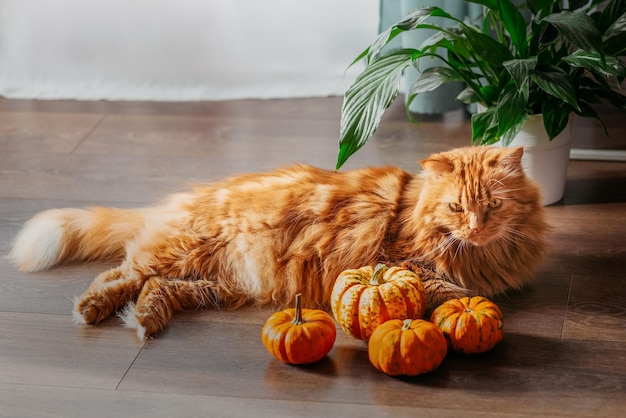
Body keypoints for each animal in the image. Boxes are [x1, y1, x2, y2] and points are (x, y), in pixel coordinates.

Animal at [11, 145, 544, 338]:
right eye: (456, 208)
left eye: (492, 205)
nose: (476, 227)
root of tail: (181, 200)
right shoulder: (400, 263)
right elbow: (451, 291)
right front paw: (471, 307)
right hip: (180, 254)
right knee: (121, 274)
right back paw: (92, 311)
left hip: (210, 283)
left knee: (155, 289)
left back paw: (144, 321)